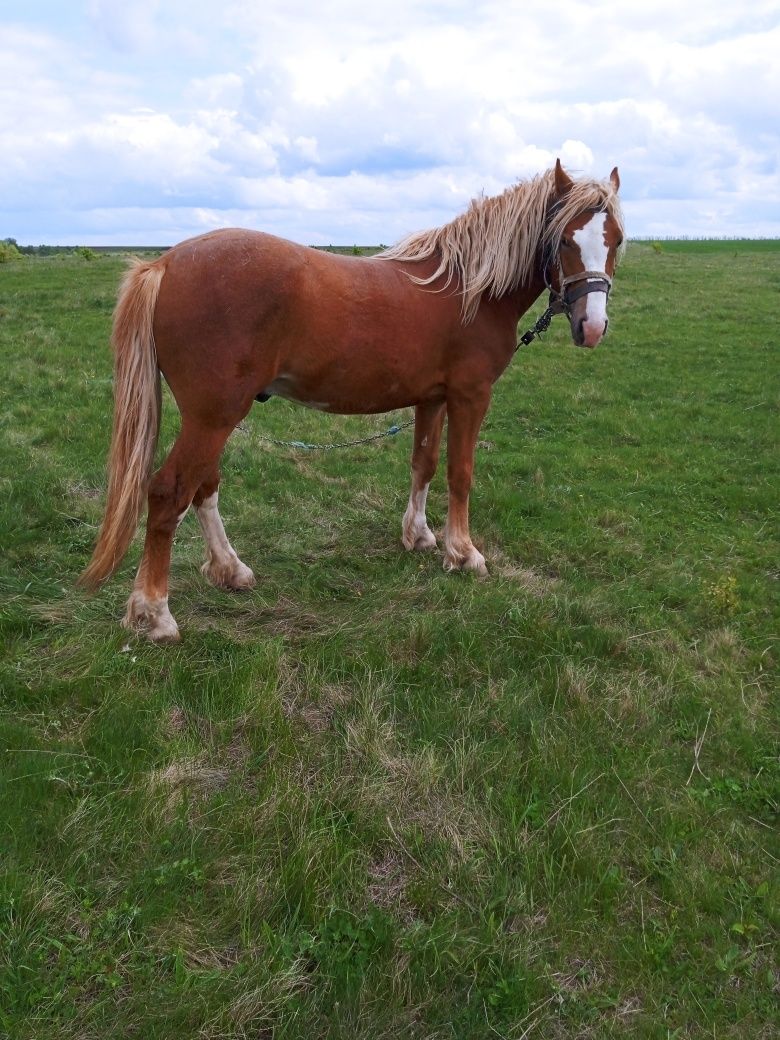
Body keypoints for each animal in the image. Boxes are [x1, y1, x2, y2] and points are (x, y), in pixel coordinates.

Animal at [79, 159, 628, 640]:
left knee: (203, 487)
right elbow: (460, 472)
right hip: (213, 416)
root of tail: (165, 263)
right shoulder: (470, 396)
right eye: (564, 239)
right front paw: (463, 553)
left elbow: (424, 463)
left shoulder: (432, 398)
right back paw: (155, 613)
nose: (592, 327)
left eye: (617, 240)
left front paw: (419, 536)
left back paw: (230, 569)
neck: (469, 287)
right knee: (170, 492)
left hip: (212, 418)